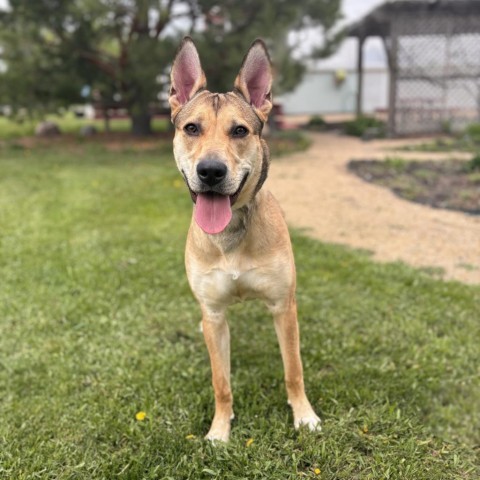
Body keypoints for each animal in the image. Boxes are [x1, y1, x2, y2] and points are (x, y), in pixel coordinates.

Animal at [169, 37, 318, 442]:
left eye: (239, 131)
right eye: (191, 128)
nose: (211, 171)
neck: (231, 233)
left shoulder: (283, 306)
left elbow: (293, 370)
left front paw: (304, 415)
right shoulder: (214, 313)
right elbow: (221, 381)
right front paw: (219, 430)